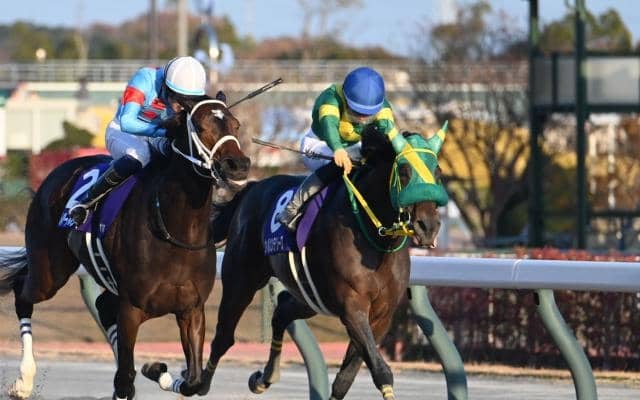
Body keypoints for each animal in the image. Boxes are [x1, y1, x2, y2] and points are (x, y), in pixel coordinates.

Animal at [0, 96, 250, 399]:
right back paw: (24, 380)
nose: (238, 164)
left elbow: (194, 381)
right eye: (201, 127)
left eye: (236, 124)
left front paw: (159, 371)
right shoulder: (131, 308)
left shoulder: (192, 309)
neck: (176, 230)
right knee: (23, 294)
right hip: (49, 272)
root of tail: (54, 175)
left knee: (103, 306)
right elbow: (125, 378)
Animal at [192, 125, 448, 399]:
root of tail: (253, 187)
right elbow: (380, 370)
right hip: (241, 279)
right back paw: (198, 382)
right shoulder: (352, 307)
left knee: (281, 310)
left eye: (437, 173)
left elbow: (347, 377)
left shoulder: (381, 316)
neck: (377, 243)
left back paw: (264, 378)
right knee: (223, 336)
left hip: (311, 296)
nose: (428, 227)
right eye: (404, 171)